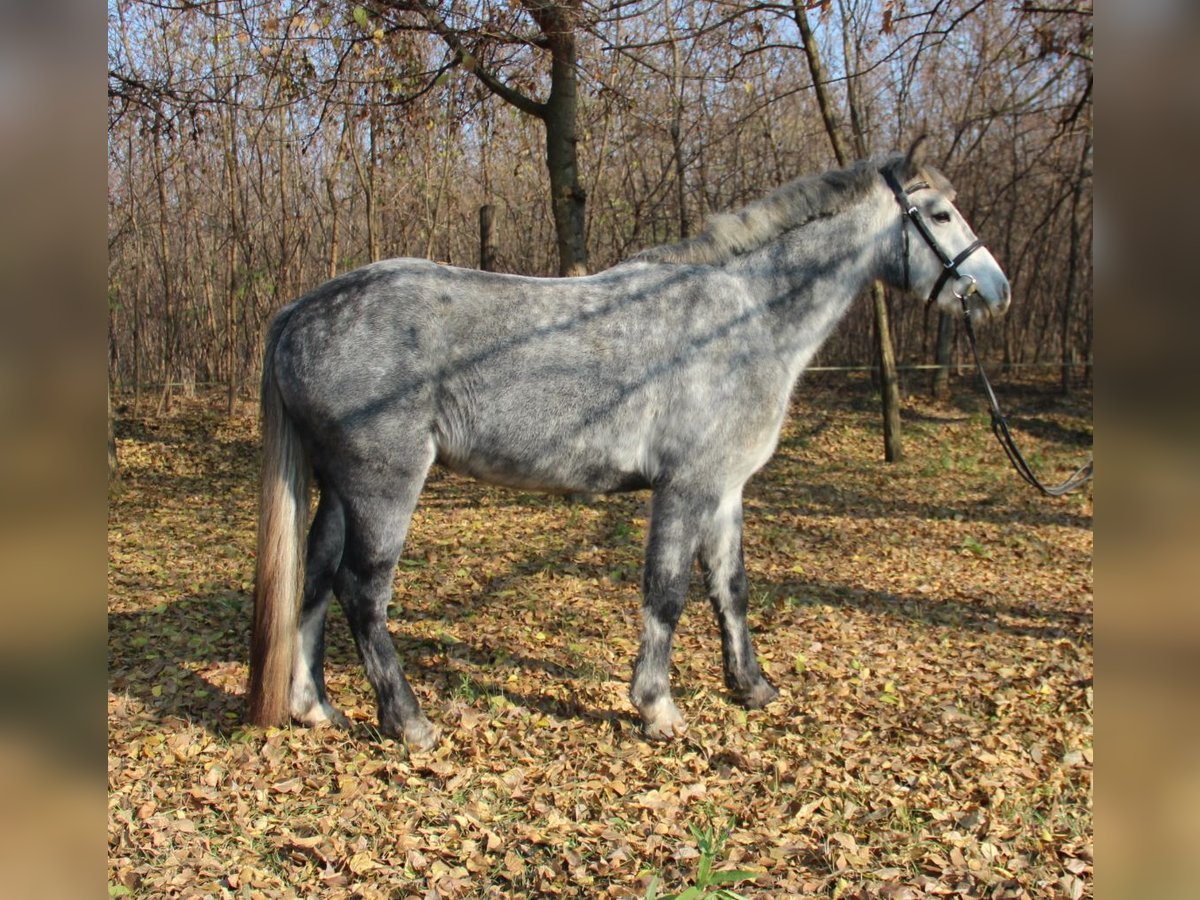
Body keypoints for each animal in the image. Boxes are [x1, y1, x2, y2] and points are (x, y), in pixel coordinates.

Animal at [248, 137, 1008, 748]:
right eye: (941, 214)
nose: (995, 291)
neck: (745, 317)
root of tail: (301, 312)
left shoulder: (725, 490)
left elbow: (729, 587)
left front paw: (752, 687)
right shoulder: (686, 487)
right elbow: (667, 592)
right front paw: (657, 708)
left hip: (339, 488)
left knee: (315, 582)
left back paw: (314, 708)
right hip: (384, 485)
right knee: (361, 593)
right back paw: (408, 722)